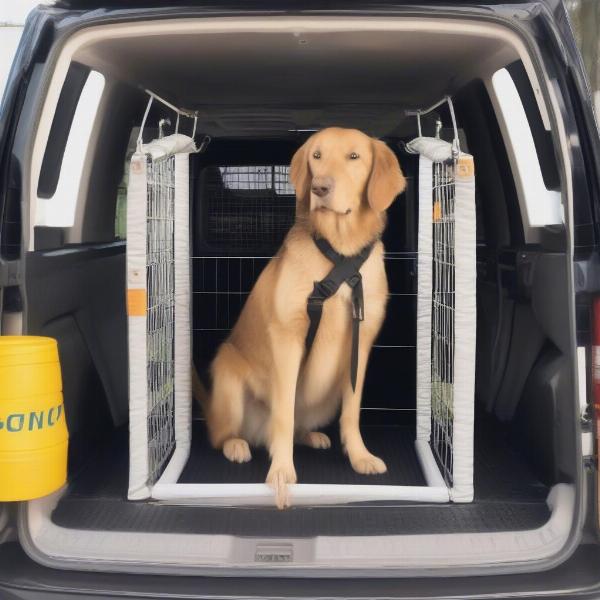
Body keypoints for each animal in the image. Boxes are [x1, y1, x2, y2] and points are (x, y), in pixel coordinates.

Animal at [195, 126, 406, 506]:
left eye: (354, 157)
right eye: (317, 156)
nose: (319, 188)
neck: (339, 251)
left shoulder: (361, 344)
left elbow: (352, 413)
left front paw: (359, 456)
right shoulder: (288, 339)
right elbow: (283, 412)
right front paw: (282, 471)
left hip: (327, 397)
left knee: (299, 426)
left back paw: (310, 436)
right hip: (229, 379)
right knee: (223, 434)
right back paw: (237, 444)